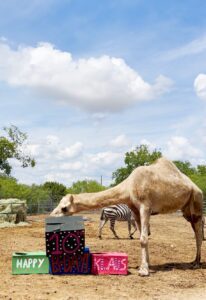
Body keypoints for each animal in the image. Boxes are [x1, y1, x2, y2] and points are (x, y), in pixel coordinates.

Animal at [51, 157, 203, 276]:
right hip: (186, 210)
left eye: (64, 208)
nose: (52, 216)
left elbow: (143, 238)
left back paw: (196, 263)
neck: (129, 187)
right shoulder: (135, 210)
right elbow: (142, 236)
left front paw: (144, 271)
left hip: (196, 201)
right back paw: (195, 261)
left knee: (198, 232)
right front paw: (146, 265)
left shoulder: (145, 206)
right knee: (196, 230)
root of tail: (195, 186)